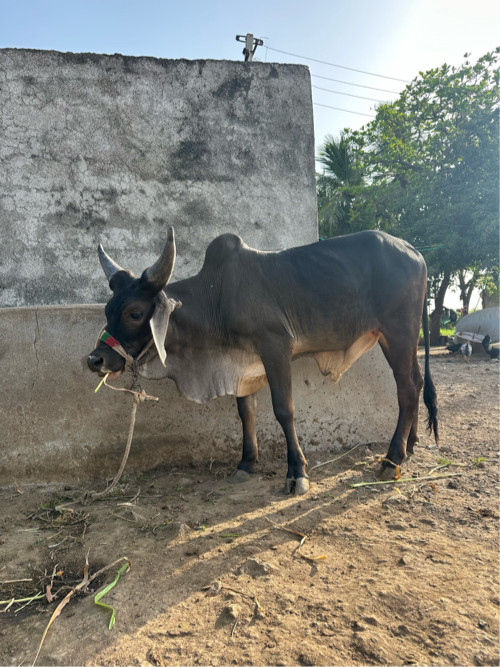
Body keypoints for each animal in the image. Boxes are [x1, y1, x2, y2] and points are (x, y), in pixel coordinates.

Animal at [88, 227, 440, 494]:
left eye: (134, 313)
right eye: (107, 309)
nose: (95, 360)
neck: (216, 298)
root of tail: (415, 252)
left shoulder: (276, 347)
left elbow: (284, 410)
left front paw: (297, 472)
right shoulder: (244, 364)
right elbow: (247, 413)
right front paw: (246, 463)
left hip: (399, 330)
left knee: (407, 388)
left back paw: (391, 459)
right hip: (397, 338)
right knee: (416, 381)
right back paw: (409, 445)